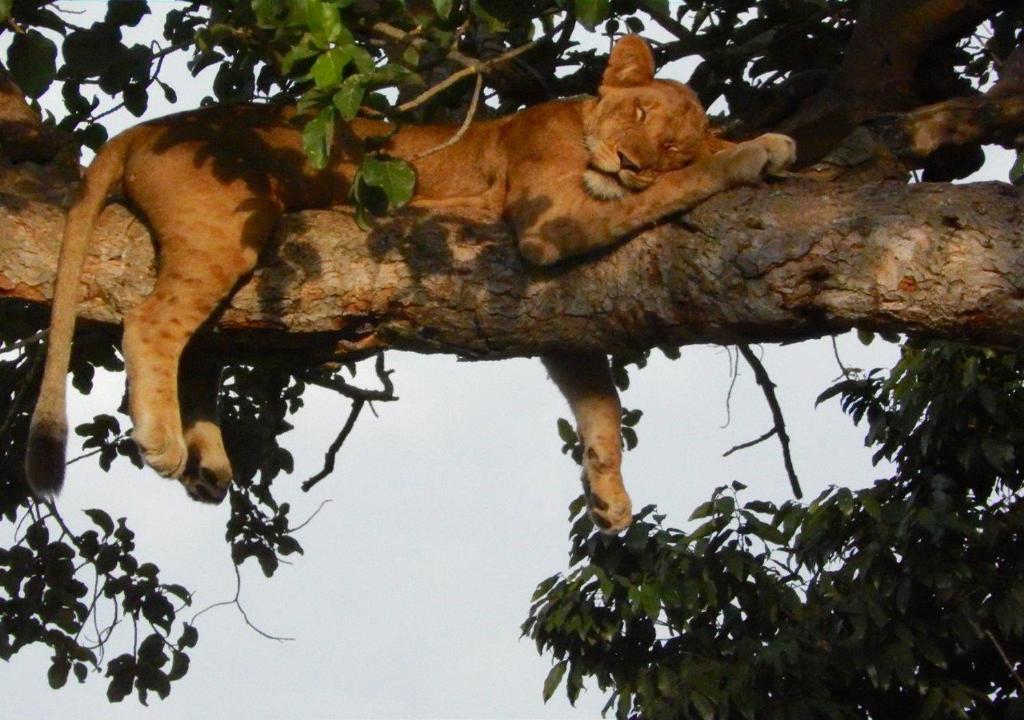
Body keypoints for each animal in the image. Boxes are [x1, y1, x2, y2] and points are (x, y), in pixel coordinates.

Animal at [22, 36, 790, 532]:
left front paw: (609, 495)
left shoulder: (556, 303)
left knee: (199, 348)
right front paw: (757, 151)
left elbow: (598, 399)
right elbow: (680, 190)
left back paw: (208, 462)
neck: (576, 122)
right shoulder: (549, 226)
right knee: (152, 324)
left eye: (670, 145)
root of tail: (141, 131)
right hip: (227, 223)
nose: (630, 161)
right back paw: (164, 443)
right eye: (636, 115)